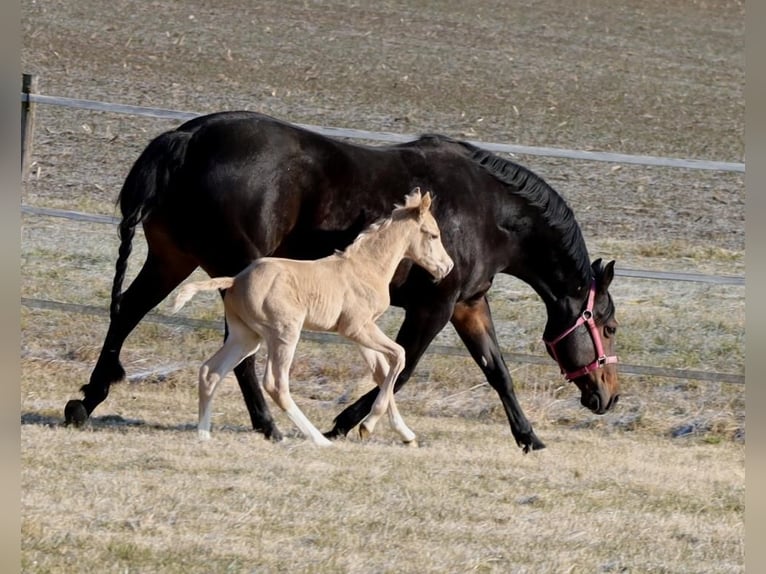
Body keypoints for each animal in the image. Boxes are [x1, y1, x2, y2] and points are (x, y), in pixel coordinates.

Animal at [171, 191, 452, 448]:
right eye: (433, 235)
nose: (447, 267)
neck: (365, 267)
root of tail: (235, 280)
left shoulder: (361, 333)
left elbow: (382, 371)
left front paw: (402, 434)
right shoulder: (357, 328)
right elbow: (399, 356)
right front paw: (369, 426)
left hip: (247, 337)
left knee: (210, 372)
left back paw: (204, 435)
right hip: (284, 334)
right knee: (275, 384)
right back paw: (318, 439)